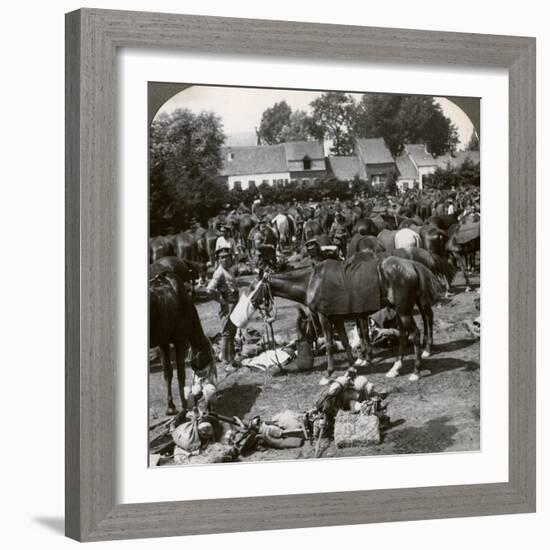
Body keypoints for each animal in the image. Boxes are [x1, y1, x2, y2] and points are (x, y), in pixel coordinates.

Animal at [150, 272, 217, 418]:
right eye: (210, 354)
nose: (211, 377)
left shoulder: (163, 342)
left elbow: (168, 373)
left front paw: (170, 406)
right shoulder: (180, 341)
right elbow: (181, 374)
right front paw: (185, 405)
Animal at [253, 256, 444, 382]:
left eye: (256, 286)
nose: (252, 301)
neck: (312, 281)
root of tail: (412, 264)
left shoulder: (324, 318)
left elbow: (330, 345)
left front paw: (329, 374)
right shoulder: (337, 319)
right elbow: (345, 342)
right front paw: (351, 370)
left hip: (404, 311)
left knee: (416, 333)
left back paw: (416, 371)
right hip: (400, 310)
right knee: (405, 335)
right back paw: (395, 368)